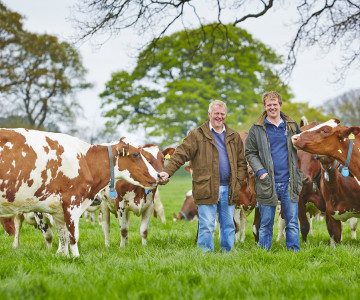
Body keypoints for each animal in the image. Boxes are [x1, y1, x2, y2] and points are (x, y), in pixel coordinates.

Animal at [0, 127, 159, 256]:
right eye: (136, 154)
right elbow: (72, 235)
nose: (158, 175)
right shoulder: (71, 201)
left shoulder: (57, 210)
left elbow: (63, 236)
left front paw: (63, 256)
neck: (85, 160)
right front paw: (75, 257)